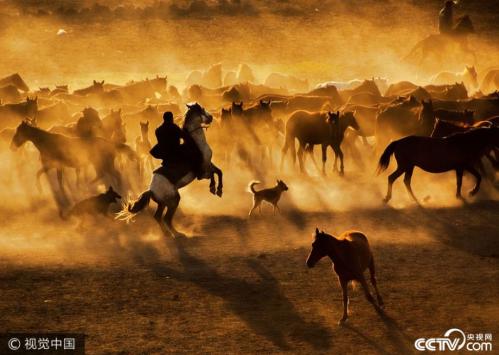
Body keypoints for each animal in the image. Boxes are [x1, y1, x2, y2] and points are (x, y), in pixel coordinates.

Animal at [117, 101, 223, 238]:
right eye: (202, 109)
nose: (211, 118)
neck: (195, 143)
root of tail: (151, 190)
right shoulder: (203, 171)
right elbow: (213, 175)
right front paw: (214, 188)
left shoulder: (208, 164)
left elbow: (219, 171)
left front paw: (218, 190)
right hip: (173, 200)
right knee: (166, 218)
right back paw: (176, 233)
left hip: (163, 203)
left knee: (158, 217)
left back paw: (168, 234)